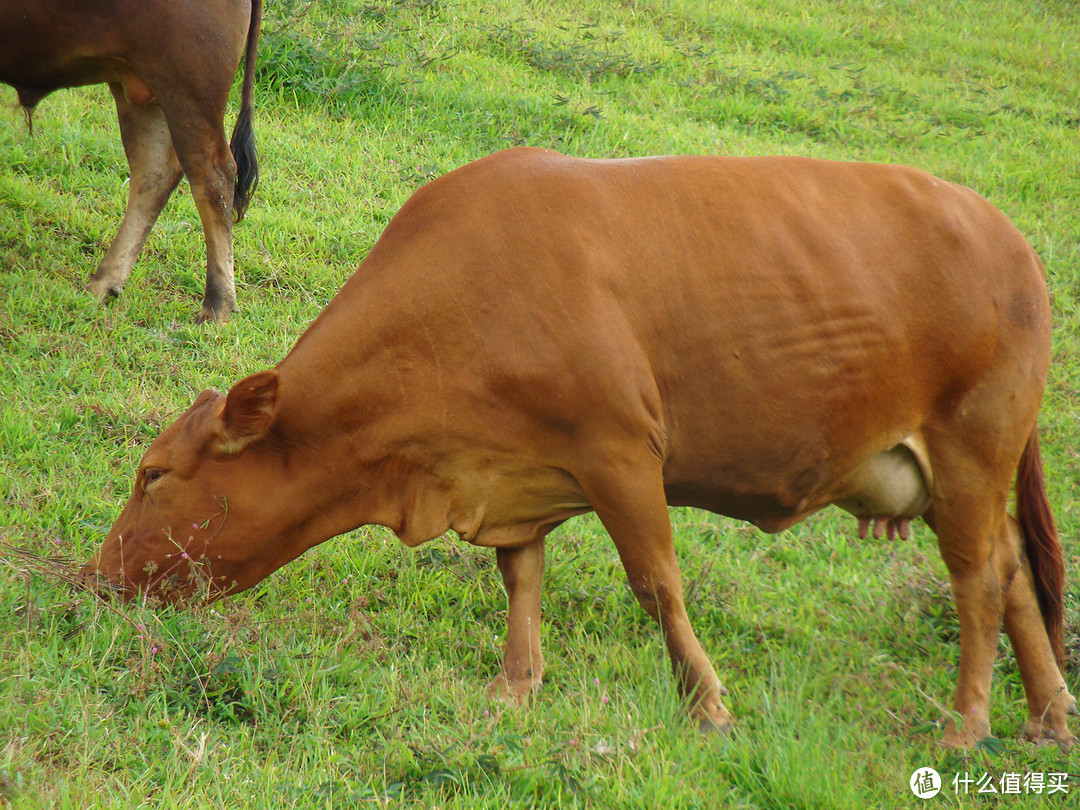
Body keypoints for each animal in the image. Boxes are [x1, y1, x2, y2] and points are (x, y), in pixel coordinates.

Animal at [0, 0, 261, 324]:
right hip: (142, 87)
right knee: (156, 172)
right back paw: (103, 284)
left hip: (188, 89)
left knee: (213, 175)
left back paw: (217, 305)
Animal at [82, 147, 1071, 747]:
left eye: (153, 474)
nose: (91, 581)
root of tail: (1011, 239)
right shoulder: (513, 471)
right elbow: (521, 575)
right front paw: (516, 687)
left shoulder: (622, 452)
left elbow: (657, 582)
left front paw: (707, 703)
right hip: (966, 474)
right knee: (1015, 571)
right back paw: (1050, 714)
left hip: (972, 447)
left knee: (979, 583)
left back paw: (966, 723)